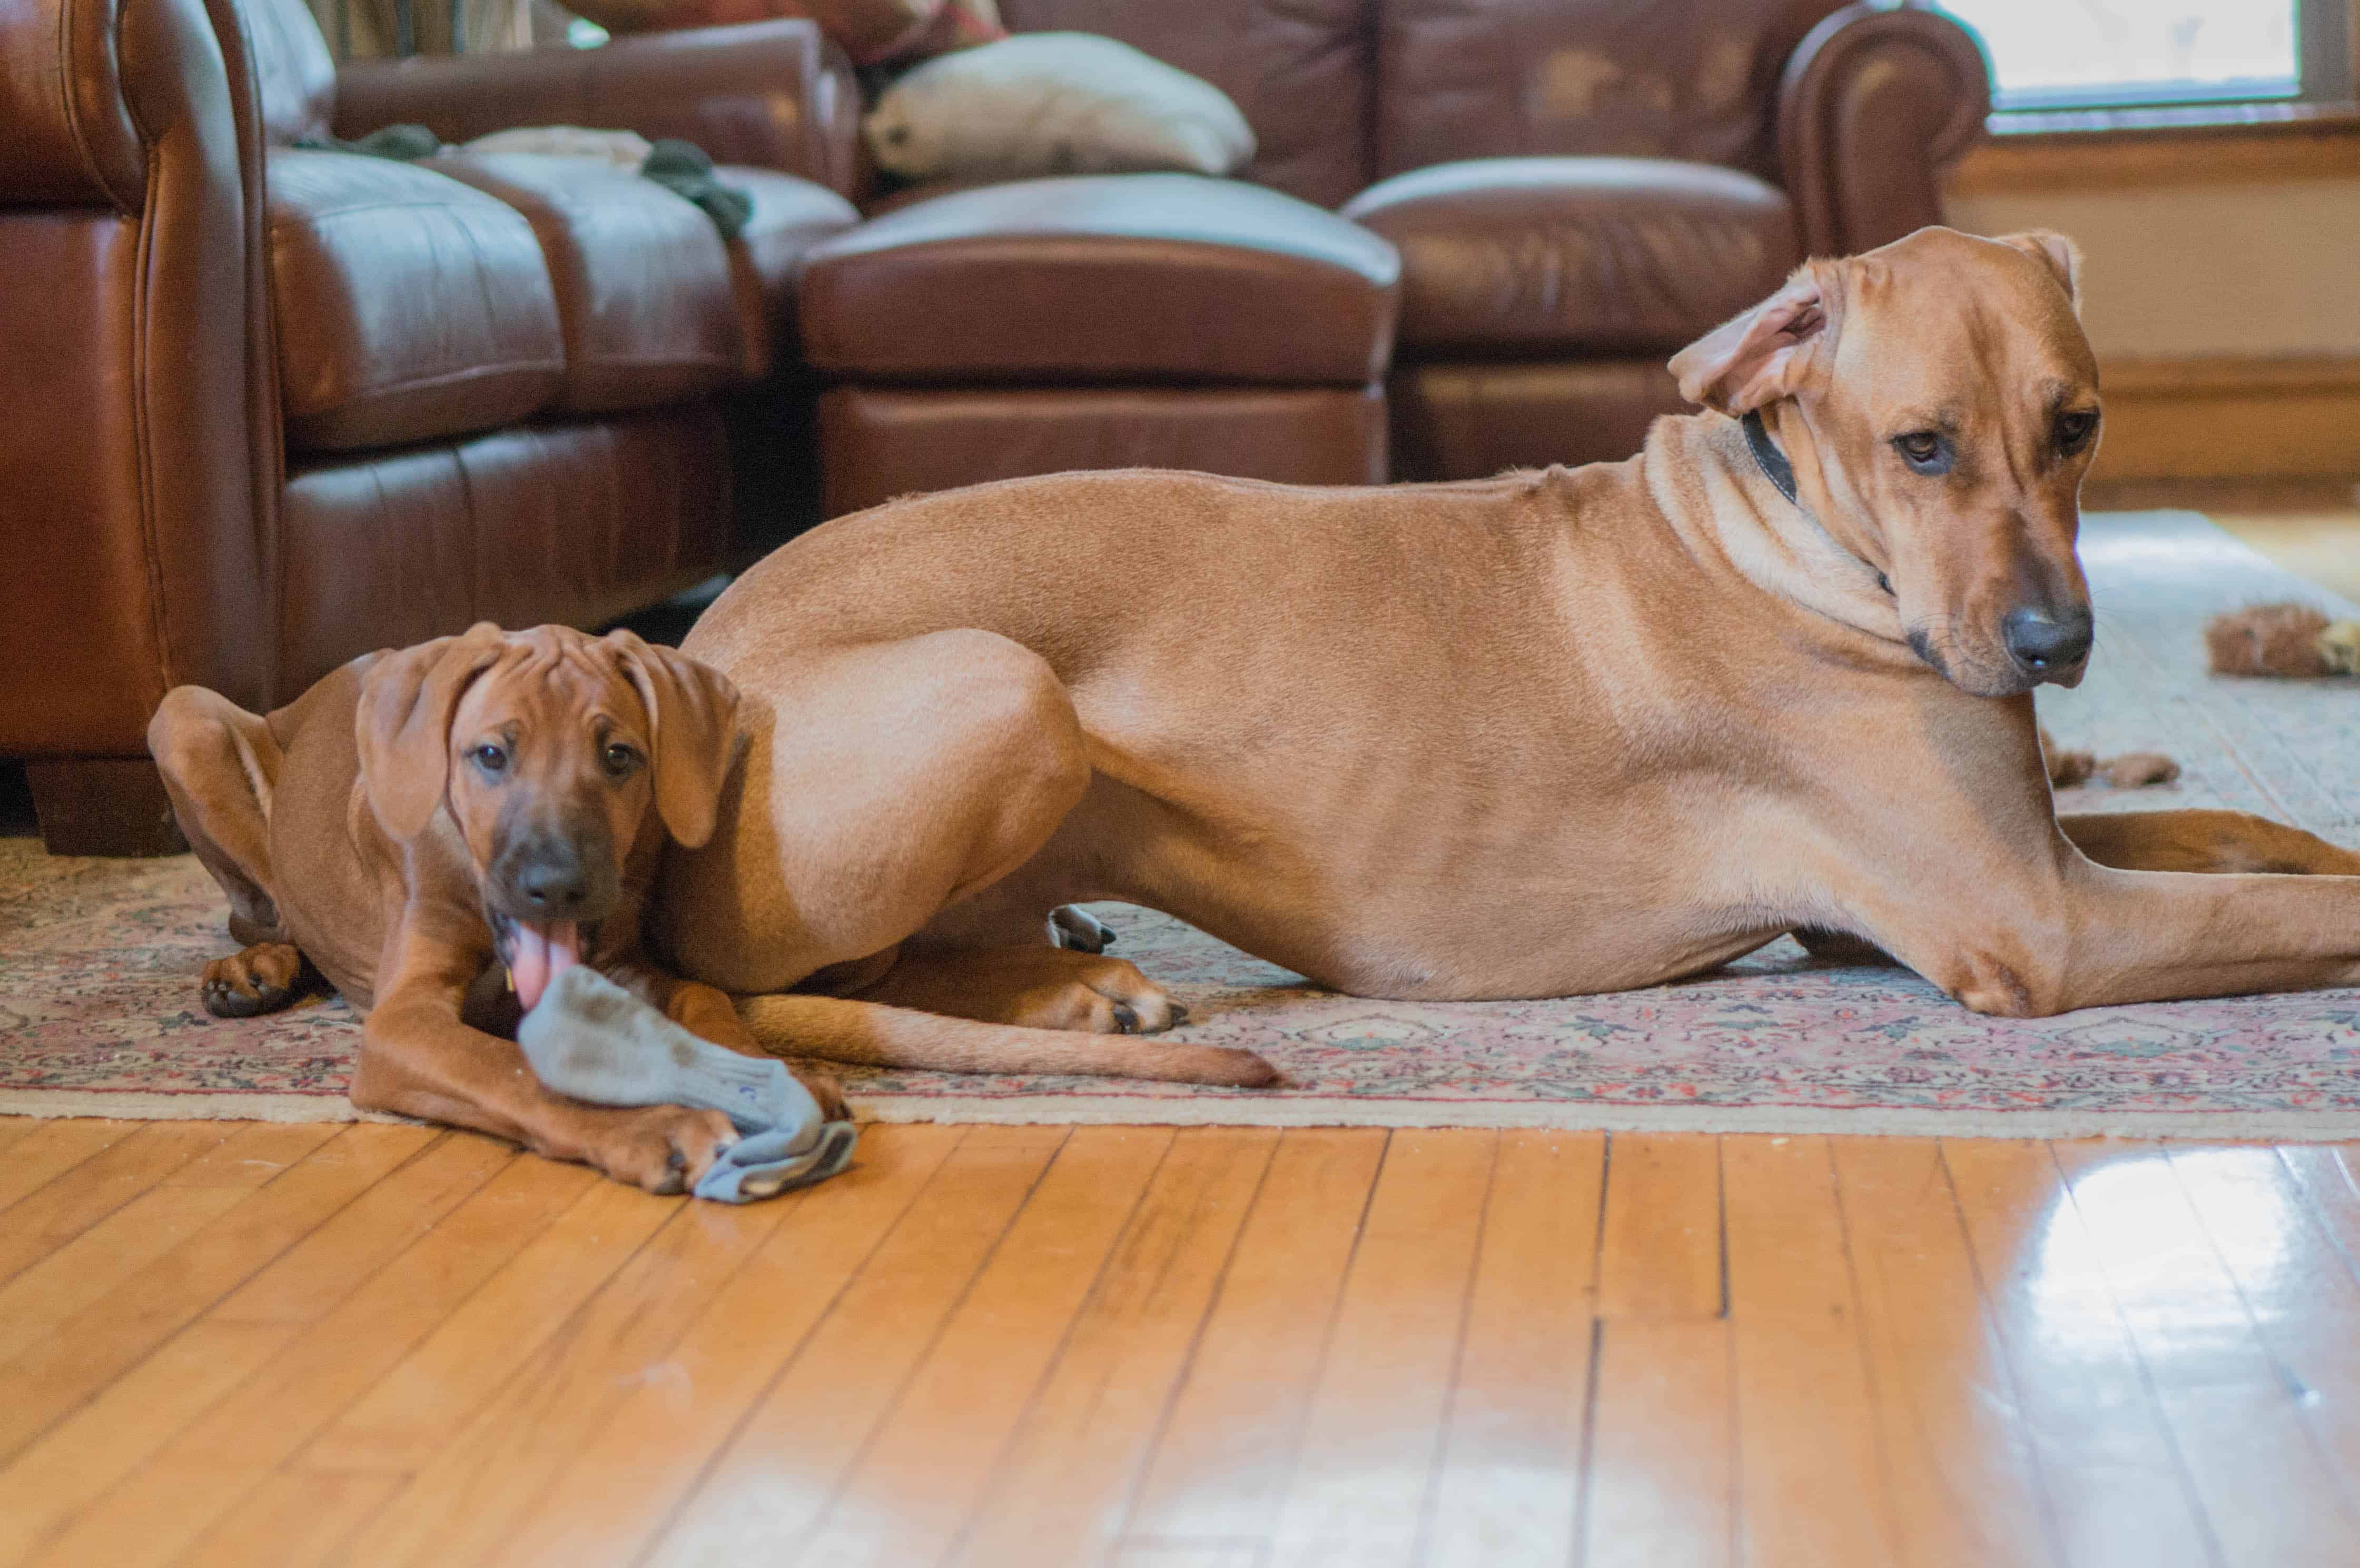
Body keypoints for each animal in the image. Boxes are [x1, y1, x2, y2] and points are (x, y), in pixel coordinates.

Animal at [150, 622, 1274, 1188]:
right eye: (489, 754)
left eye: (621, 757)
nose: (559, 886)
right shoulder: (404, 1021)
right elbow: (508, 1068)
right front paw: (651, 1127)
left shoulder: (633, 960)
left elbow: (708, 1004)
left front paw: (775, 1071)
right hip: (184, 716)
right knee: (258, 910)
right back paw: (254, 970)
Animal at [656, 226, 2360, 1023]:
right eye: (1920, 445)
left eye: (2074, 424)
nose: (2052, 644)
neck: (1796, 534)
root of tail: (691, 652)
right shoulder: (2042, 919)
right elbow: (2290, 911)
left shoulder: (2027, 853)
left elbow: (2238, 829)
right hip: (1003, 687)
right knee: (820, 983)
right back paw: (1073, 989)